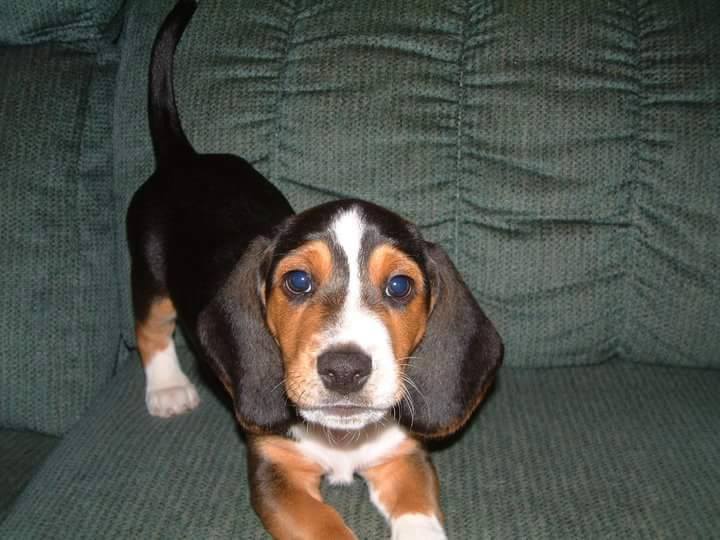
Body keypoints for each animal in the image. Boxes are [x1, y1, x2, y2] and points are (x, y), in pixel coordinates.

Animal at [126, 2, 504, 536]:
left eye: (400, 286)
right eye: (298, 281)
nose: (345, 370)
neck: (342, 438)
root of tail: (184, 160)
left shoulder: (404, 458)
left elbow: (418, 514)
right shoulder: (276, 474)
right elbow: (326, 526)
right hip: (149, 271)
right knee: (151, 326)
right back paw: (168, 389)